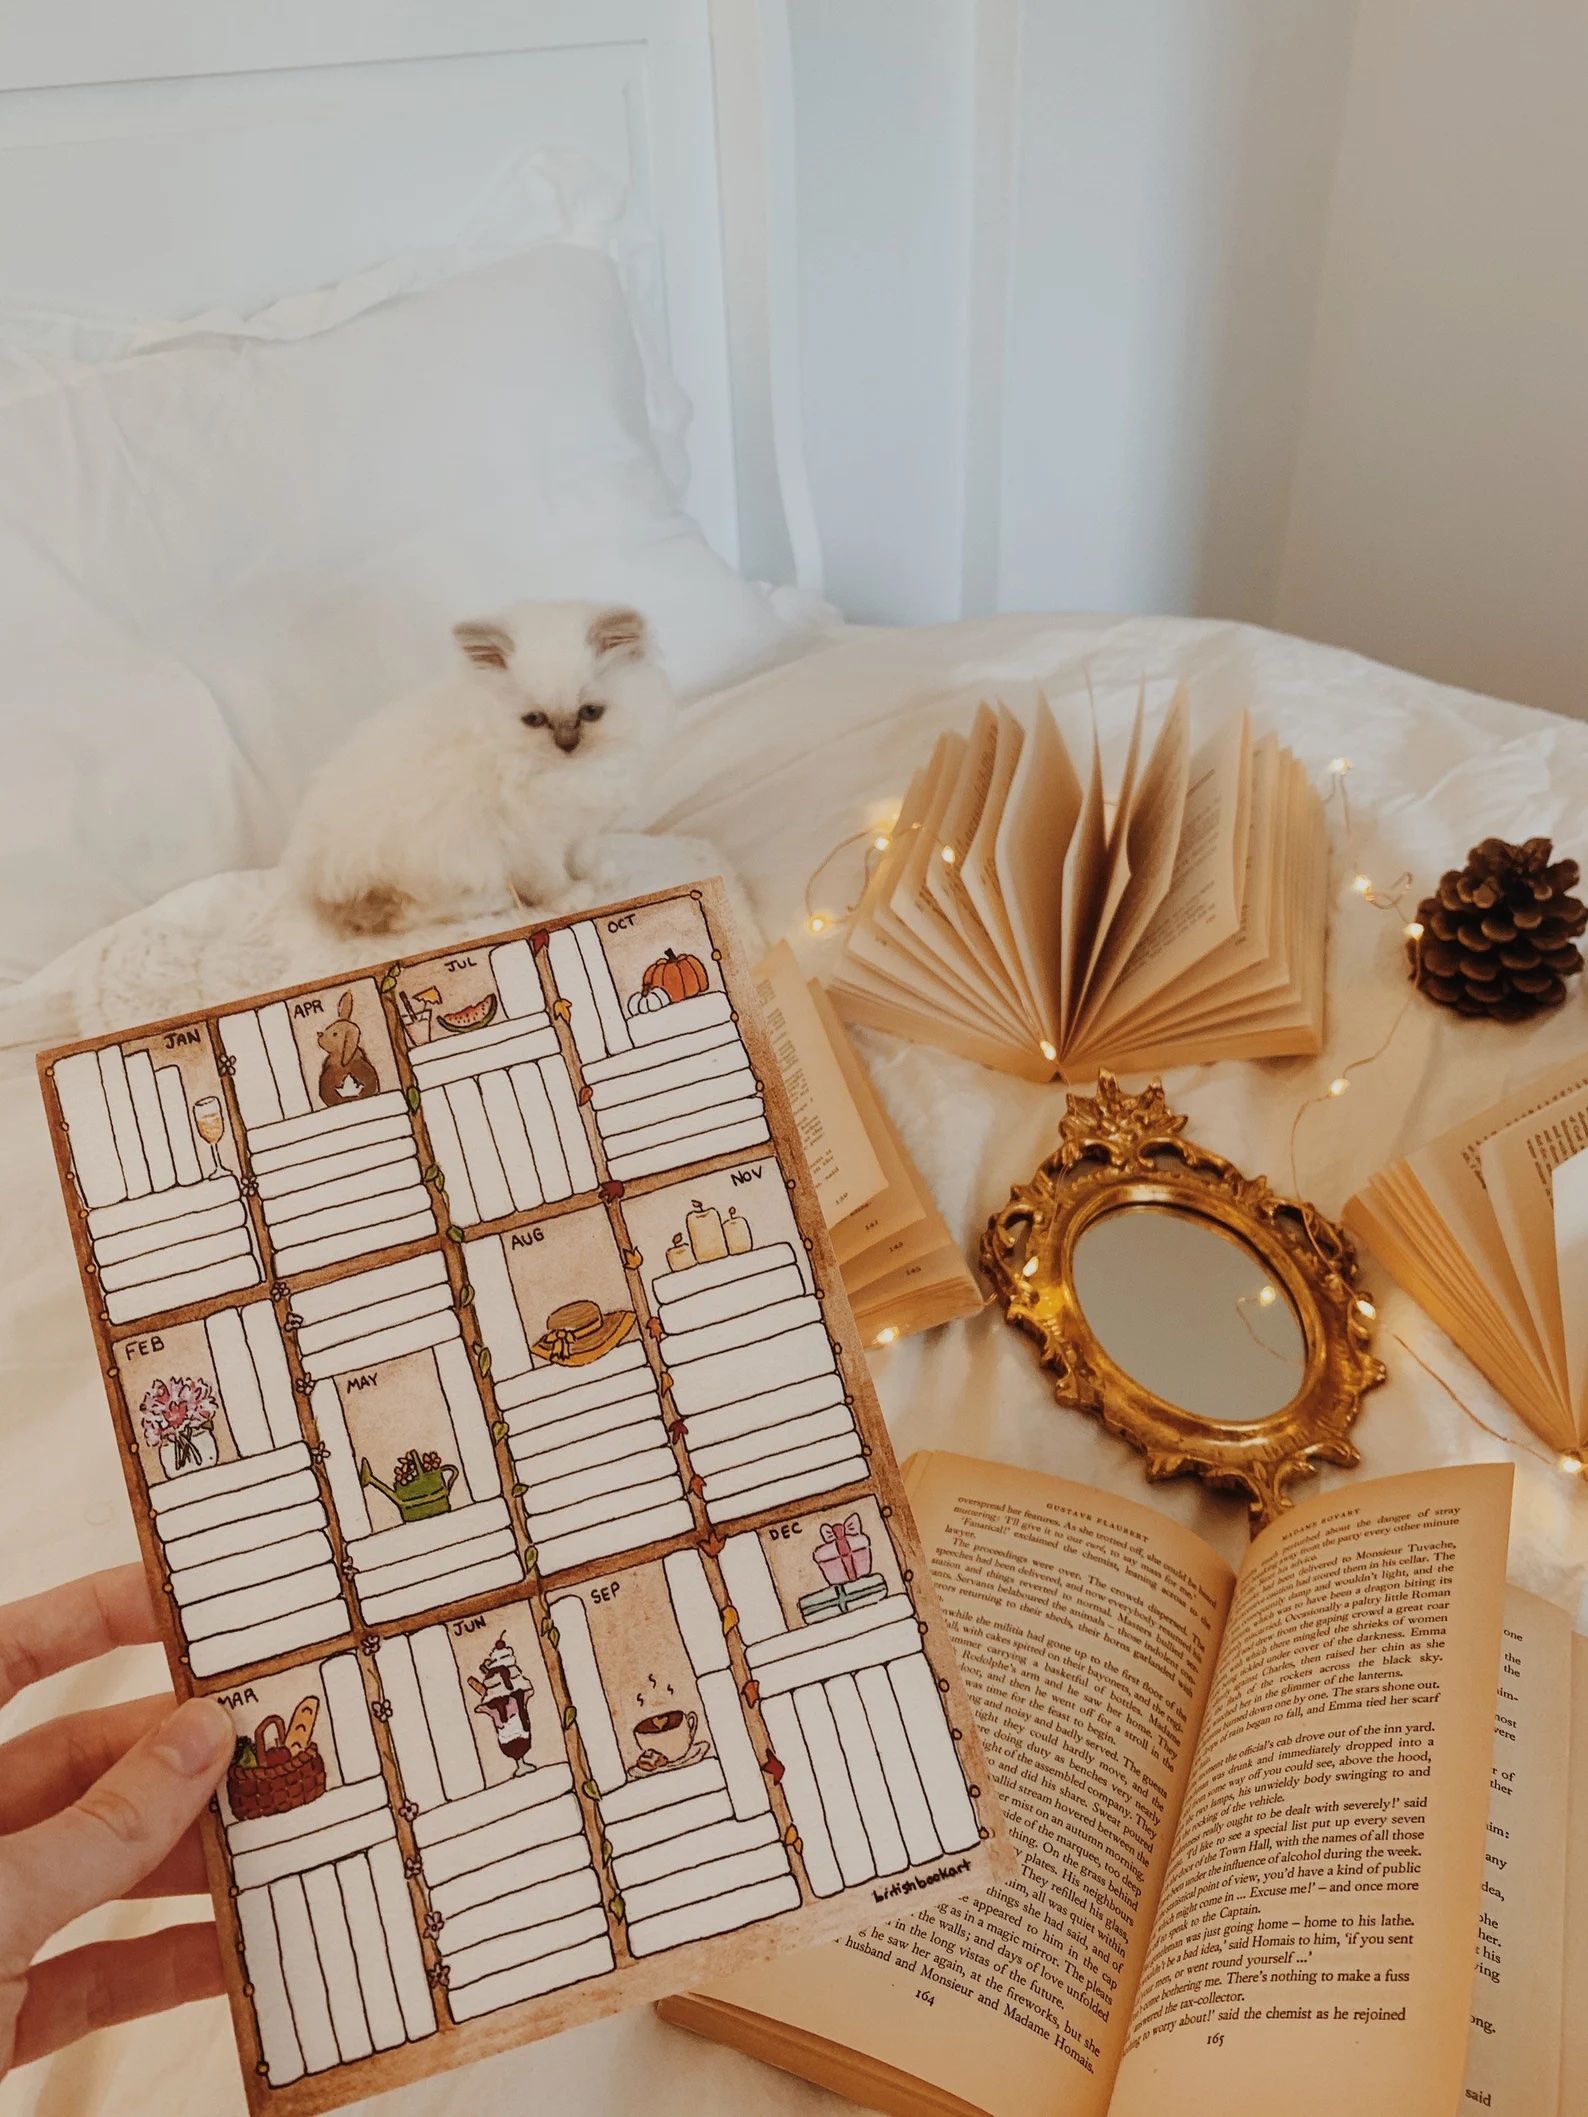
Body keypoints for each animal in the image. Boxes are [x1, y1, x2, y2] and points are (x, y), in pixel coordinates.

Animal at [290, 596, 673, 927]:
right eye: (534, 720)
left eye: (590, 713)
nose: (567, 745)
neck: (565, 773)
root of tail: (313, 884)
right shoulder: (530, 839)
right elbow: (550, 875)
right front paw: (570, 896)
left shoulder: (579, 826)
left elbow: (582, 857)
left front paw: (599, 876)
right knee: (412, 912)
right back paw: (497, 900)